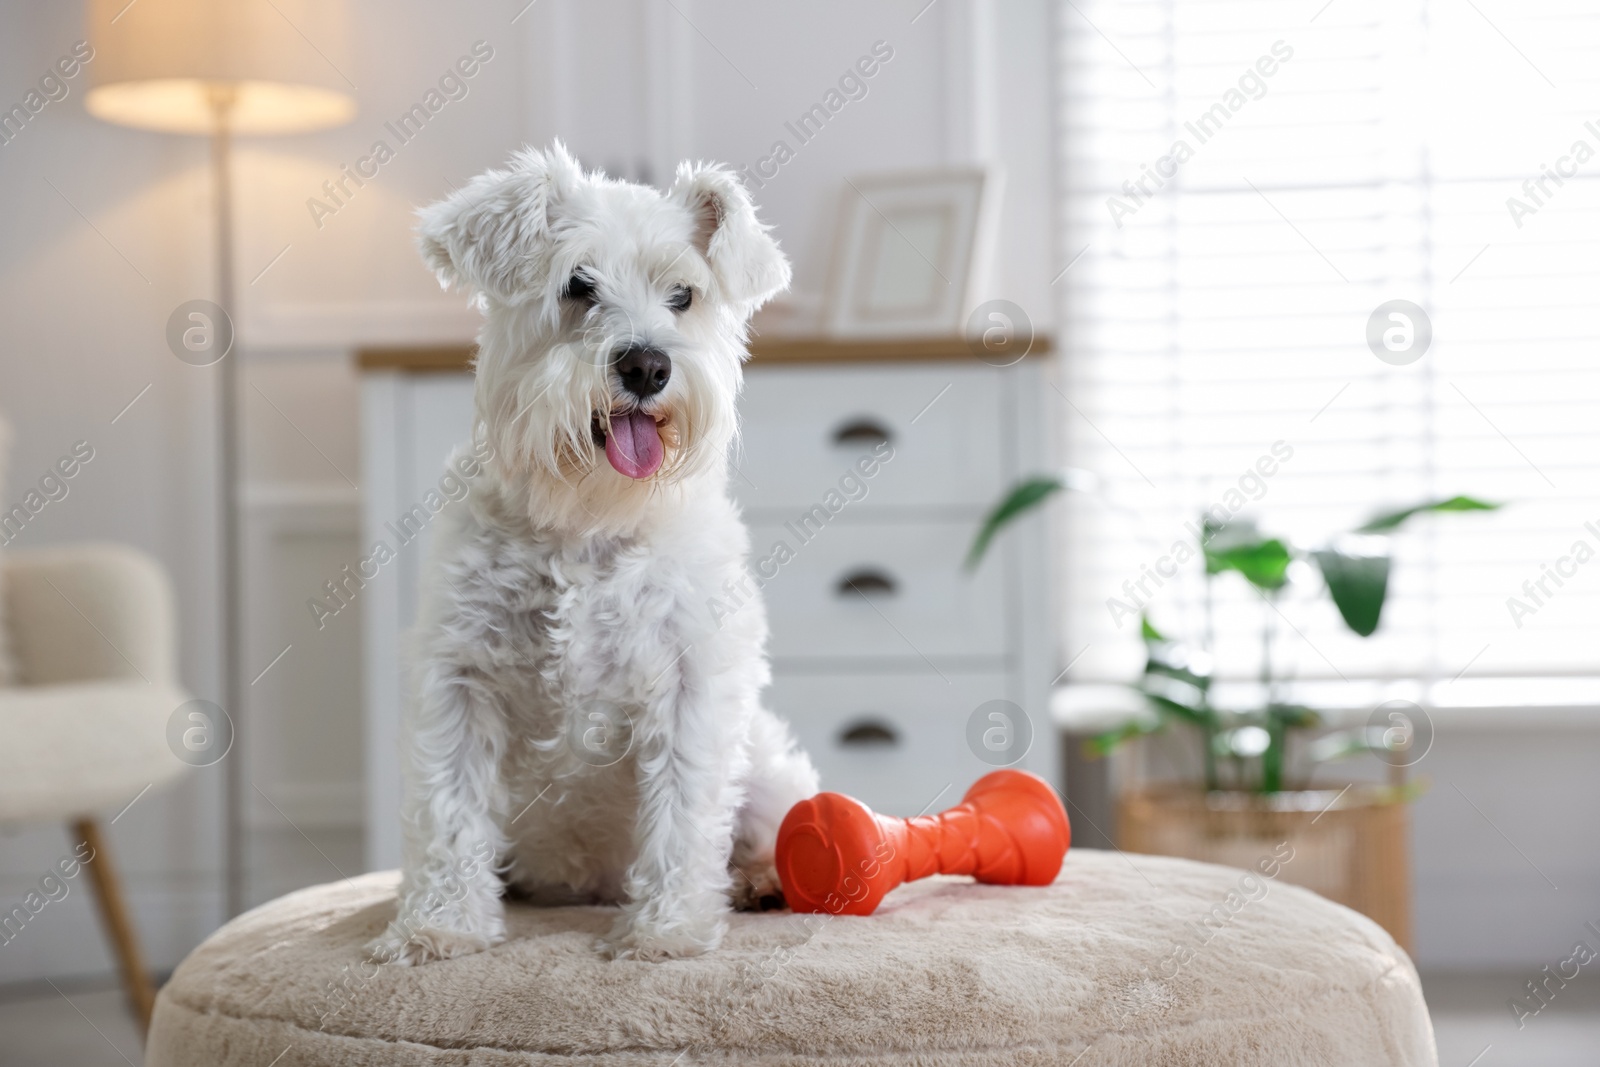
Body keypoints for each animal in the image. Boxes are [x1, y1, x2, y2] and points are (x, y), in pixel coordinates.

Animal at [368, 143, 819, 966]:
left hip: (768, 767)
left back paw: (762, 877)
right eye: (578, 284)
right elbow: (448, 813)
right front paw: (437, 925)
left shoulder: (689, 684)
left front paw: (667, 931)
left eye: (683, 294)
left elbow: (682, 811)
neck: (585, 518)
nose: (646, 366)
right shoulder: (459, 679)